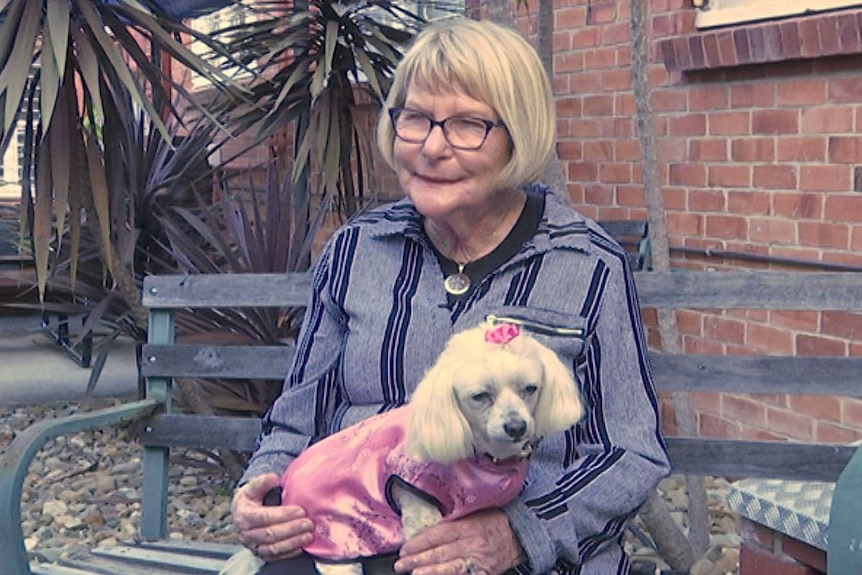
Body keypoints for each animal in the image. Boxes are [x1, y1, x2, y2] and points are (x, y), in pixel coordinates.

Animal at [221, 322, 588, 575]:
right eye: (480, 396)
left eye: (530, 389)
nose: (517, 426)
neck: (477, 451)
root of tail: (282, 492)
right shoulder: (421, 513)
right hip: (335, 536)